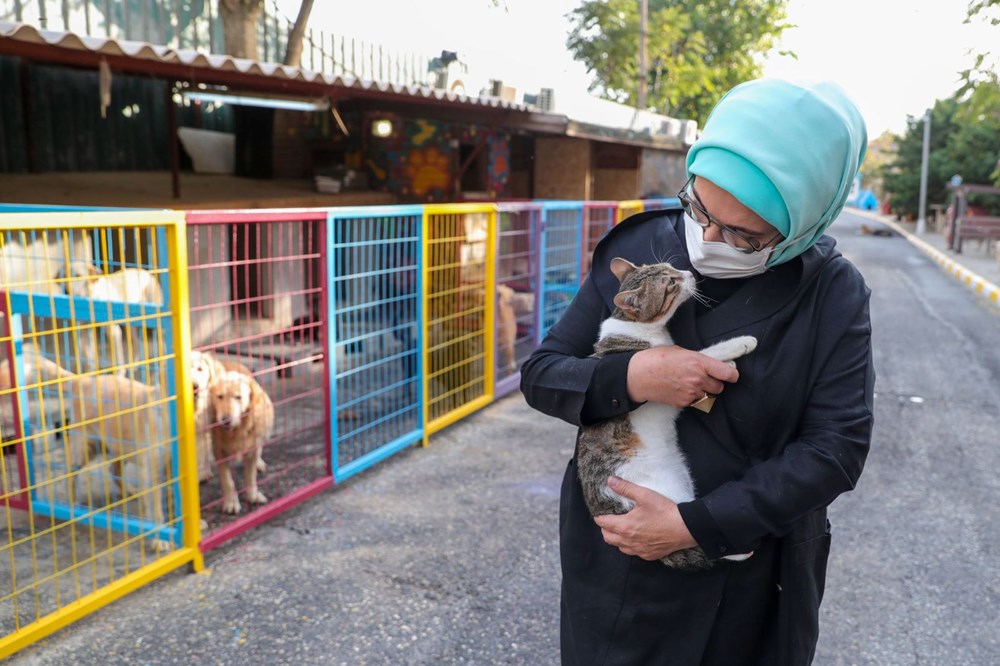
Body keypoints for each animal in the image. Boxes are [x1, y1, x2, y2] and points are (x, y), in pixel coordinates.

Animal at [208, 368, 274, 512]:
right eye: (220, 396)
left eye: (238, 397)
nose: (225, 420)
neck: (236, 431)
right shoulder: (219, 451)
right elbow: (227, 480)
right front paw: (231, 502)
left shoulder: (252, 448)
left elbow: (250, 476)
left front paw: (252, 496)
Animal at [580, 256, 756, 568]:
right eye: (671, 283)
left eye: (670, 268)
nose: (688, 273)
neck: (634, 325)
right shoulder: (671, 372)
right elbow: (699, 355)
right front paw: (737, 346)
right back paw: (738, 551)